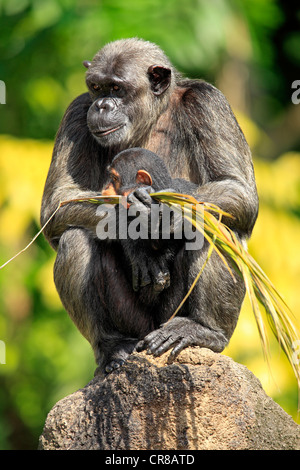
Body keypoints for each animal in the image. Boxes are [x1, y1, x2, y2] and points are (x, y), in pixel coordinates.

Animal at [41, 38, 258, 378]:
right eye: (96, 87)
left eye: (116, 88)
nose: (102, 105)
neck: (152, 116)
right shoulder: (76, 112)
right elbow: (58, 201)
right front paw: (135, 241)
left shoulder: (210, 104)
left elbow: (237, 188)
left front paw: (166, 217)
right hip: (136, 324)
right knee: (76, 237)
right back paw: (112, 345)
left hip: (170, 318)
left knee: (216, 227)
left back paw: (203, 330)